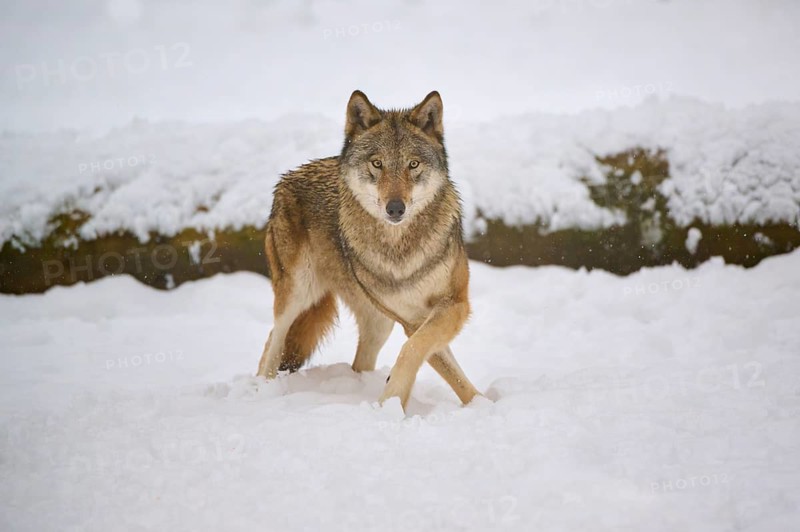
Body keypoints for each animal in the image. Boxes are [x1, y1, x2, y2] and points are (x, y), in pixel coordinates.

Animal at [255, 90, 480, 410]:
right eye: (377, 164)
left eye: (413, 165)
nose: (395, 208)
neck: (400, 250)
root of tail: (289, 176)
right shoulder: (412, 320)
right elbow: (415, 350)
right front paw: (391, 402)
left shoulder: (453, 304)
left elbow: (425, 356)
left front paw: (484, 405)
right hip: (298, 293)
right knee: (273, 340)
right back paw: (260, 391)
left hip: (378, 323)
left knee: (357, 363)